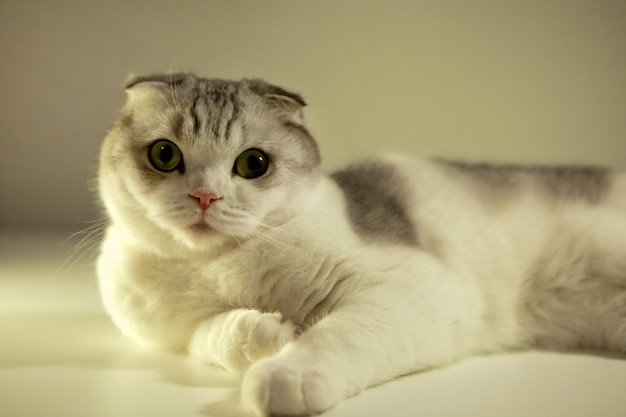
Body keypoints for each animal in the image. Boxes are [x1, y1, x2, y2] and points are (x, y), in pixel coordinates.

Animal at [97, 73, 624, 414]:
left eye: (253, 164)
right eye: (165, 155)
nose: (205, 196)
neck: (216, 265)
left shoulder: (413, 288)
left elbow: (333, 334)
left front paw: (286, 372)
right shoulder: (176, 333)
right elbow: (212, 335)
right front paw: (268, 334)